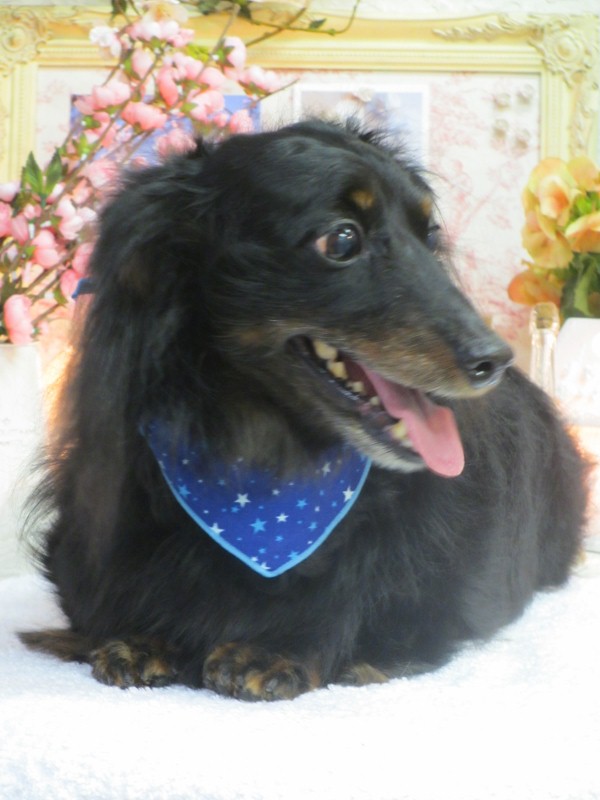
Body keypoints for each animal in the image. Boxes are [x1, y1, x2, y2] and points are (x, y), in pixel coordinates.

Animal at [21, 119, 589, 701]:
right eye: (341, 240)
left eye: (429, 236)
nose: (492, 360)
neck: (266, 465)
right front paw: (146, 638)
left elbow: (354, 608)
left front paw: (273, 647)